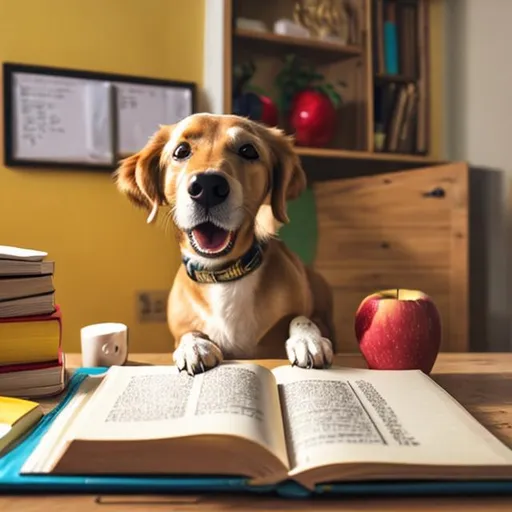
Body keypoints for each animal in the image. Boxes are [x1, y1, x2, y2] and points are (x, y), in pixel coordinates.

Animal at [116, 114, 338, 374]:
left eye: (248, 150)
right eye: (181, 151)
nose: (207, 187)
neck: (224, 274)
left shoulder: (312, 316)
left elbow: (301, 318)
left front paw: (307, 340)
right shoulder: (181, 329)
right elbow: (188, 332)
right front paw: (194, 345)